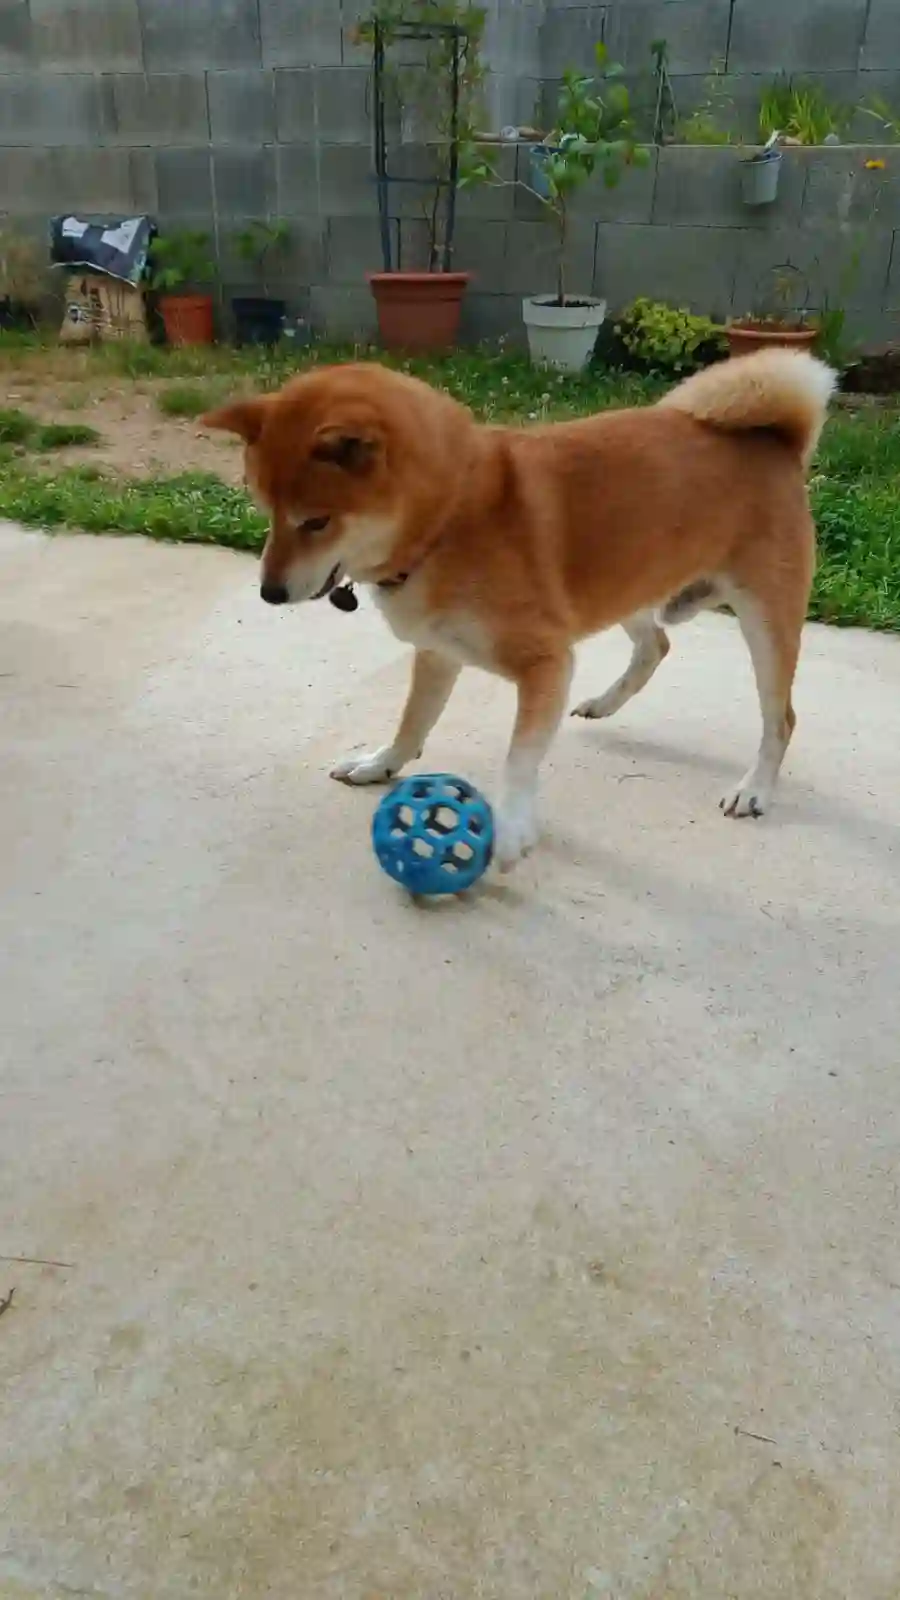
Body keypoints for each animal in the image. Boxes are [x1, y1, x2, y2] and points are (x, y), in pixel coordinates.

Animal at [203, 350, 832, 870]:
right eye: (264, 508)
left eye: (315, 521)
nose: (269, 593)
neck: (447, 521)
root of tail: (775, 440)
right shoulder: (438, 653)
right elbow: (413, 722)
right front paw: (381, 764)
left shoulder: (544, 663)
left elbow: (519, 758)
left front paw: (508, 828)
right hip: (620, 584)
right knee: (656, 643)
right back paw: (606, 702)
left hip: (764, 622)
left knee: (780, 719)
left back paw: (754, 788)